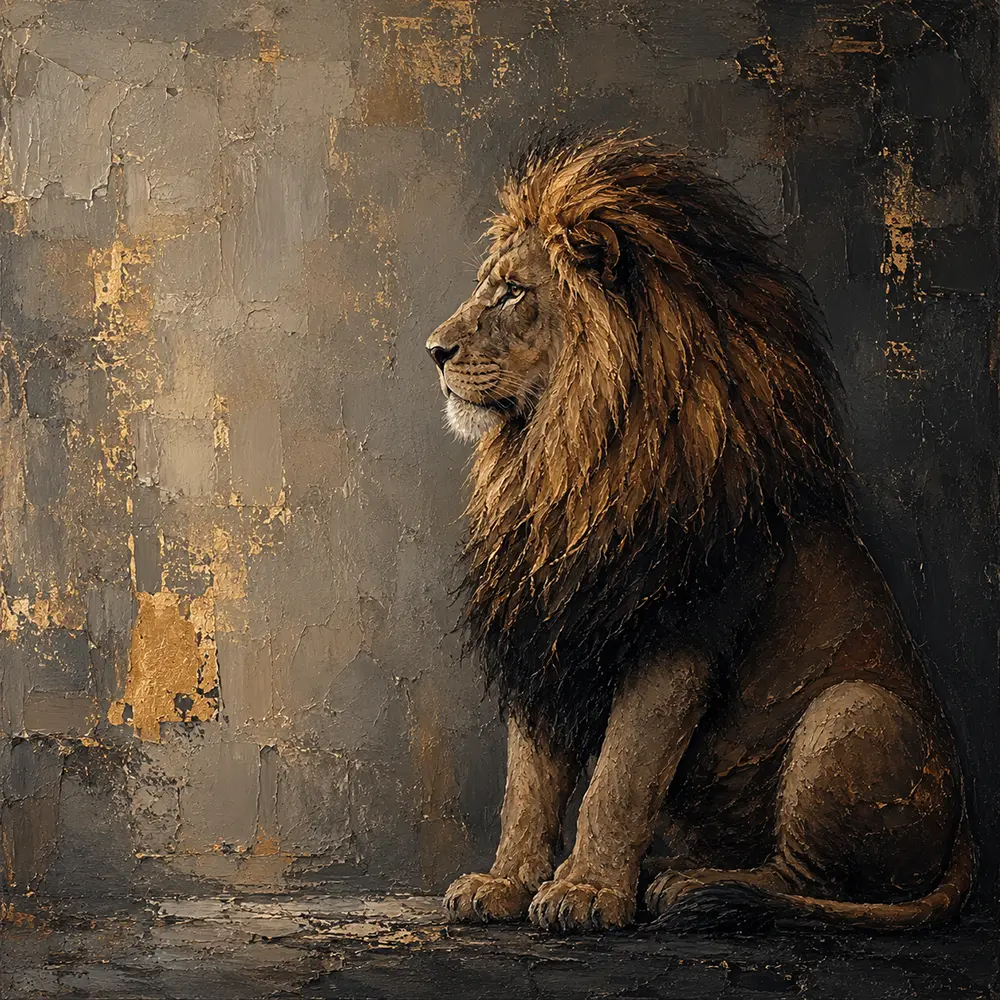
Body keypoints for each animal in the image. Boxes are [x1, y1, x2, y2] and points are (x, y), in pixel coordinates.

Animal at [425, 132, 973, 933]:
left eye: (514, 292)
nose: (433, 351)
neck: (566, 457)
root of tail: (966, 835)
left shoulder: (677, 633)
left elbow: (619, 778)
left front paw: (585, 892)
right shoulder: (550, 621)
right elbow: (530, 781)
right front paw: (505, 883)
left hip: (851, 715)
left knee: (807, 882)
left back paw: (691, 886)